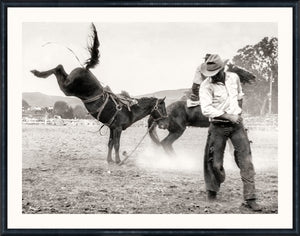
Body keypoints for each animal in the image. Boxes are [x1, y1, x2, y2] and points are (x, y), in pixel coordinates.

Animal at [31, 24, 168, 164]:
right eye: (162, 107)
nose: (165, 124)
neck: (130, 109)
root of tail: (86, 69)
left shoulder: (112, 128)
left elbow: (110, 144)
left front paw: (109, 160)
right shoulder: (118, 128)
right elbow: (117, 144)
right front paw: (118, 161)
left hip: (68, 82)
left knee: (60, 68)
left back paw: (38, 72)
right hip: (68, 88)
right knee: (58, 67)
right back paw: (38, 73)